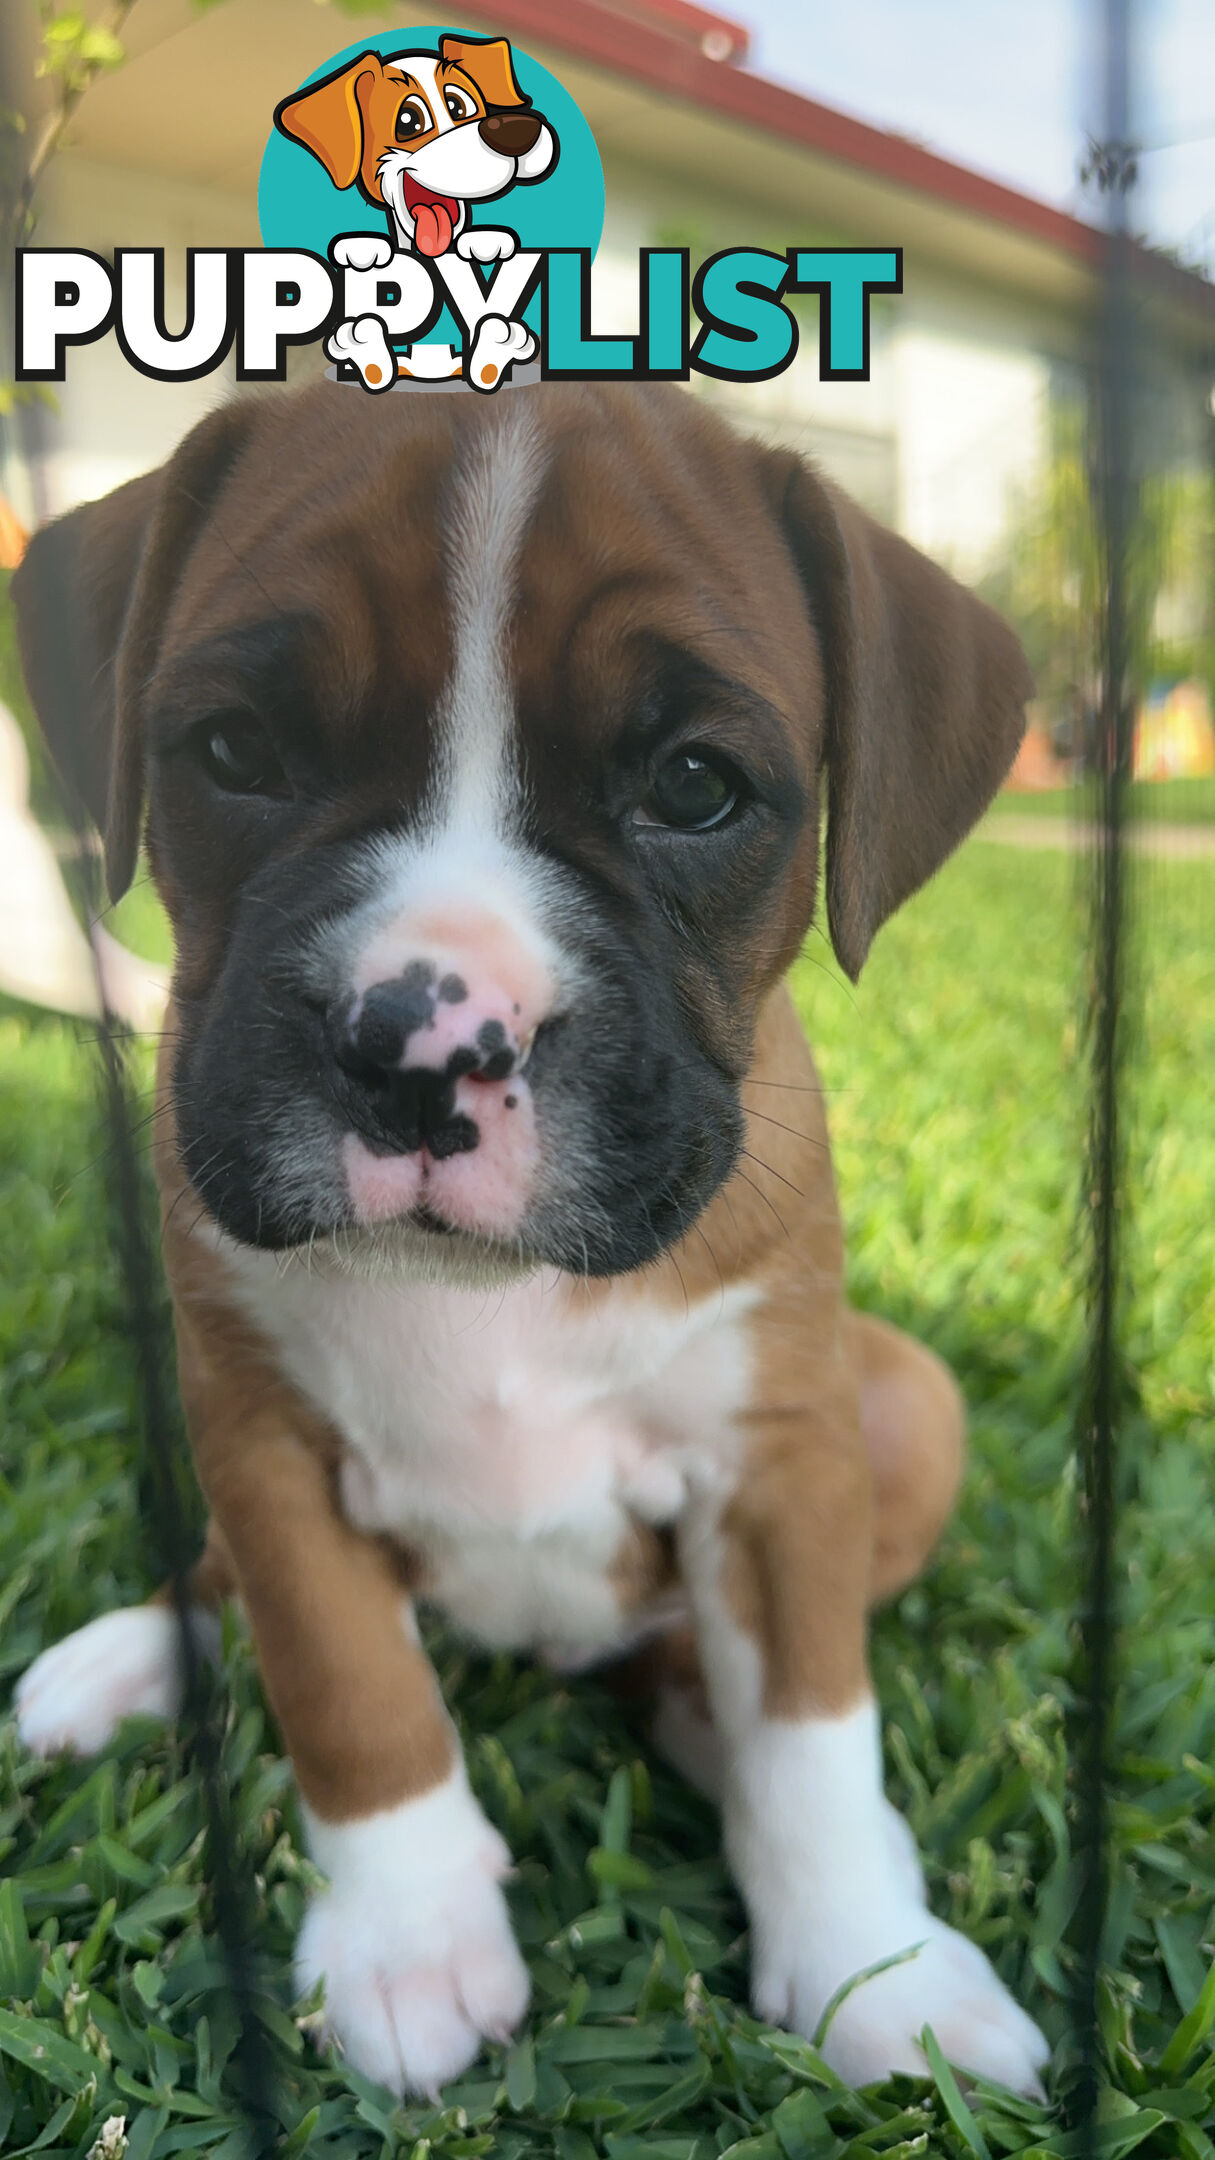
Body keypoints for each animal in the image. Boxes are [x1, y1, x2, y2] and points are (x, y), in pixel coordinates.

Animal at [11, 380, 1042, 2099]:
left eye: (692, 786)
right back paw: (134, 1656)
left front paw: (871, 1968)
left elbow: (813, 1734)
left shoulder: (781, 1465)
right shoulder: (264, 1448)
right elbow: (350, 1691)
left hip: (912, 1401)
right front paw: (408, 1939)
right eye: (234, 751)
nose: (423, 1047)